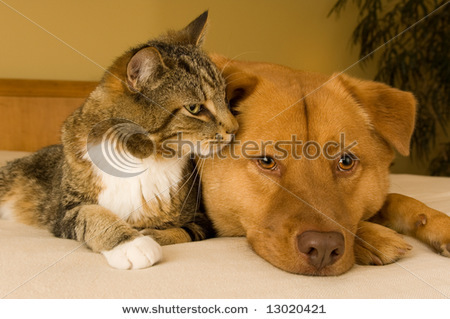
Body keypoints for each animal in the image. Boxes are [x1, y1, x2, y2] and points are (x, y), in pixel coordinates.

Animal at [0, 10, 239, 270]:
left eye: (225, 99)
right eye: (194, 108)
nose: (235, 129)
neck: (139, 155)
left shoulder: (201, 220)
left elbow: (182, 231)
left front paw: (150, 234)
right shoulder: (66, 211)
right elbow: (93, 214)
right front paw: (132, 243)